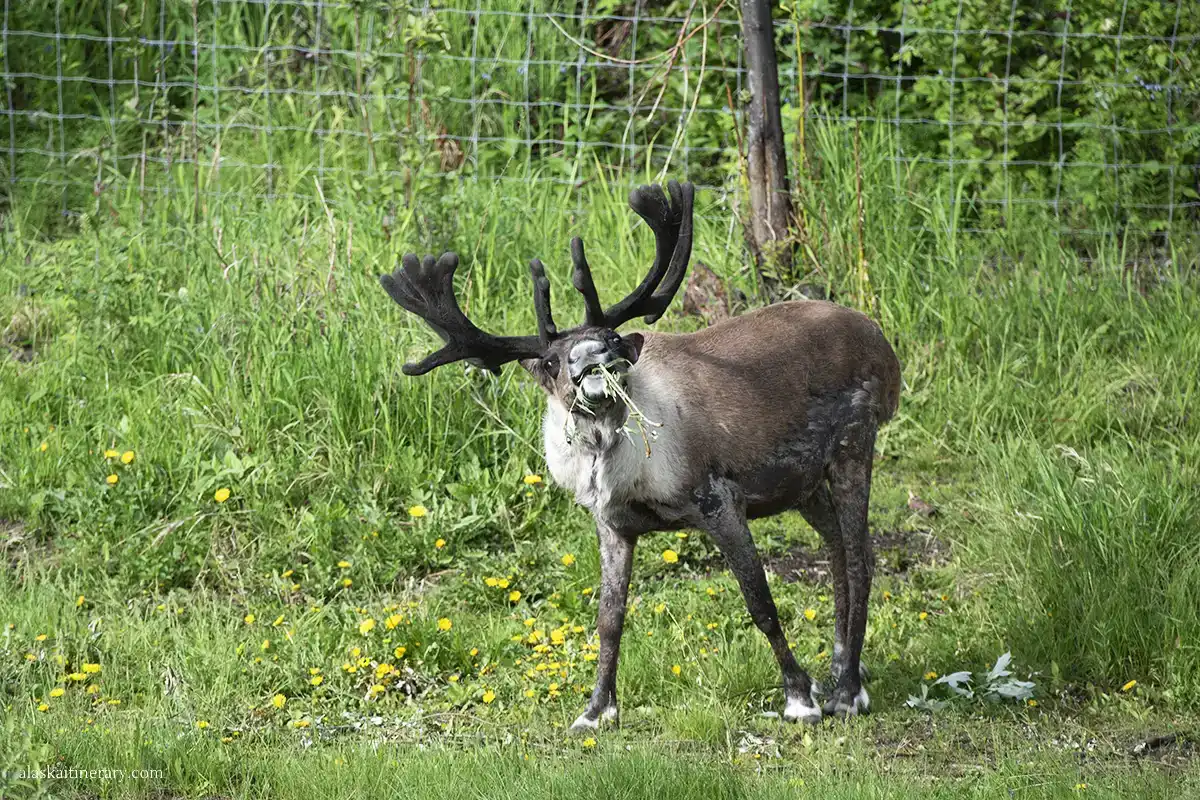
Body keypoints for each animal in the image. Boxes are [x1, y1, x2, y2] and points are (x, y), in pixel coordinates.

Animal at [380, 180, 902, 729]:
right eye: (550, 361)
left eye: (610, 338)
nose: (594, 359)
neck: (619, 465)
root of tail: (882, 343)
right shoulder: (613, 524)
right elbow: (609, 619)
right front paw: (595, 711)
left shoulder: (719, 500)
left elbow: (760, 601)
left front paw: (799, 697)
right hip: (803, 483)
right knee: (840, 550)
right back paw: (842, 668)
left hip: (854, 444)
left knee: (861, 558)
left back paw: (846, 692)